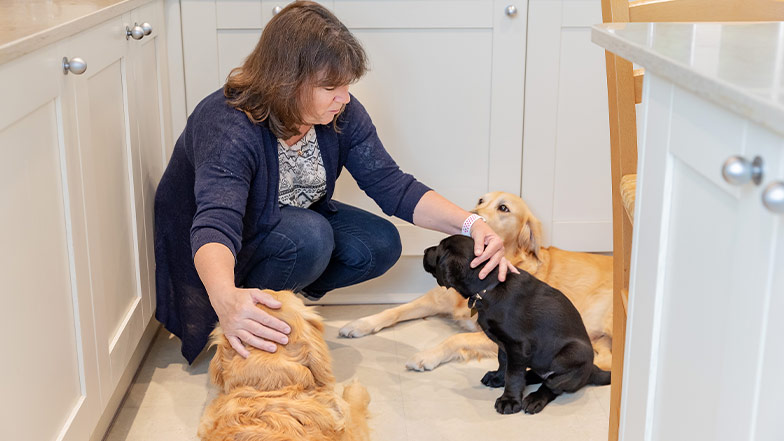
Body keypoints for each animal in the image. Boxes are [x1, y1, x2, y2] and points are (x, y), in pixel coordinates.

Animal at [336, 192, 612, 372]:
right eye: (481, 200)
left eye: (504, 208)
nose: (471, 216)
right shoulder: (435, 299)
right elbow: (395, 310)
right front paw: (362, 323)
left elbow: (457, 339)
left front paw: (427, 355)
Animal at [422, 235, 612, 414]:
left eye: (440, 249)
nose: (424, 251)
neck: (490, 286)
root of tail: (592, 370)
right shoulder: (504, 344)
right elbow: (504, 363)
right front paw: (498, 378)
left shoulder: (517, 346)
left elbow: (513, 375)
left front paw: (509, 401)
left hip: (572, 354)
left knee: (552, 385)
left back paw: (535, 399)